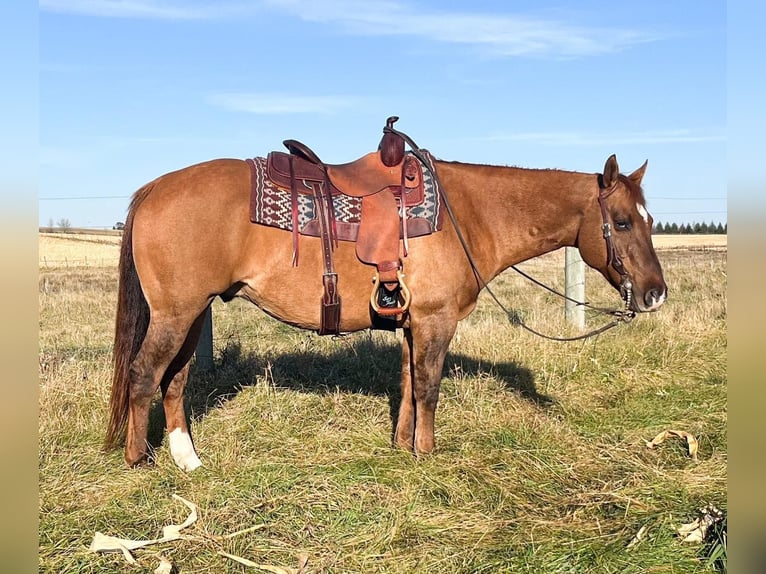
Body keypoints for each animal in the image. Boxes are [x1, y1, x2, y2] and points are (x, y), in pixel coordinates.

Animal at [105, 121, 668, 472]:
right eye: (621, 222)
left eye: (650, 219)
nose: (655, 293)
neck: (469, 213)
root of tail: (154, 189)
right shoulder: (437, 322)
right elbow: (429, 388)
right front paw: (427, 453)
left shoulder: (412, 324)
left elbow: (407, 384)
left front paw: (402, 446)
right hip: (176, 314)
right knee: (144, 374)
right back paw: (138, 460)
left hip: (193, 313)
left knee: (175, 380)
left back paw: (188, 459)